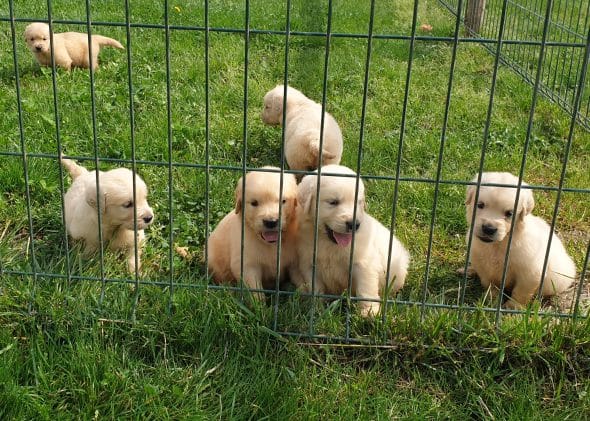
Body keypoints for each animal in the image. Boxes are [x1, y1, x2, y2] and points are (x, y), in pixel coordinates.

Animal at [208, 167, 300, 298]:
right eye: (254, 203)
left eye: (283, 201)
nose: (271, 222)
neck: (270, 245)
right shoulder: (247, 265)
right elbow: (255, 290)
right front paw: (259, 303)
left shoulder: (295, 262)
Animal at [292, 164, 412, 316]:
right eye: (333, 202)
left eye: (358, 203)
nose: (354, 224)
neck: (328, 243)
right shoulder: (309, 264)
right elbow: (316, 290)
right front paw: (316, 310)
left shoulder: (363, 263)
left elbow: (365, 289)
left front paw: (369, 313)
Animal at [468, 171, 580, 308]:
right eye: (480, 205)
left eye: (509, 213)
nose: (489, 228)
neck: (499, 244)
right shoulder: (483, 266)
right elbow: (490, 284)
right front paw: (490, 299)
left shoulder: (530, 273)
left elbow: (520, 292)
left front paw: (513, 306)